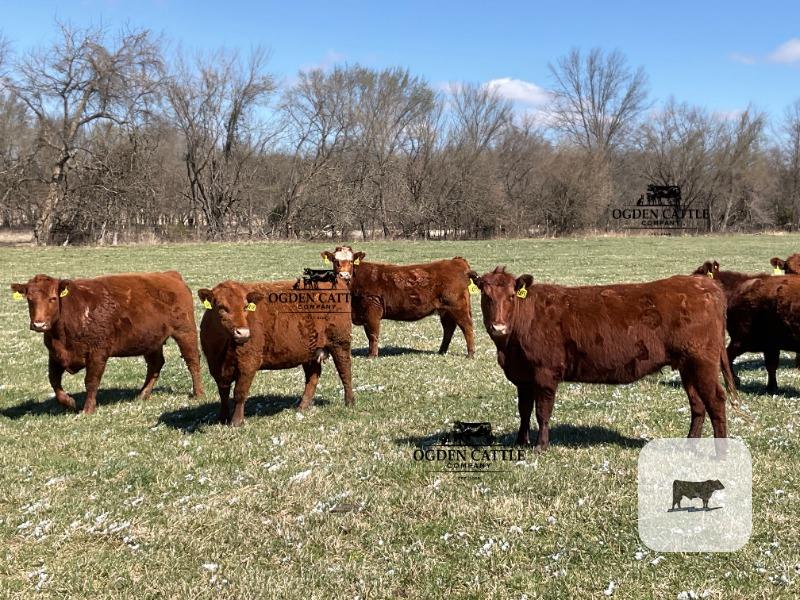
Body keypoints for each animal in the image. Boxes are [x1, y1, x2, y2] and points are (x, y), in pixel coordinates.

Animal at [10, 272, 204, 414]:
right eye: (29, 299)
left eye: (53, 298)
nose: (39, 324)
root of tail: (170, 275)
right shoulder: (55, 354)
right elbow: (54, 381)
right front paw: (70, 402)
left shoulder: (98, 353)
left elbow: (91, 381)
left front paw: (87, 410)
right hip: (152, 341)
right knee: (155, 365)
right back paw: (142, 394)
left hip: (185, 332)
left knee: (192, 361)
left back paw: (198, 393)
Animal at [198, 280, 353, 426]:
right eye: (221, 307)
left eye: (246, 307)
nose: (243, 333)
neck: (222, 351)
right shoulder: (215, 366)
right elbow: (223, 393)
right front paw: (222, 417)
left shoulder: (248, 363)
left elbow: (239, 392)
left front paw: (236, 422)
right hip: (309, 352)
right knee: (312, 377)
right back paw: (302, 406)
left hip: (340, 342)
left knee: (345, 370)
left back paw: (349, 401)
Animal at [322, 245, 475, 358]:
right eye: (335, 261)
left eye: (351, 261)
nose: (344, 275)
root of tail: (456, 261)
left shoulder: (372, 310)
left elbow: (373, 334)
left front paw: (372, 355)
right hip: (445, 311)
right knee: (449, 328)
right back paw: (441, 351)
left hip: (458, 308)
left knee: (467, 327)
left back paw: (470, 354)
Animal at [469, 267, 738, 451]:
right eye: (486, 296)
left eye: (512, 296)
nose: (498, 327)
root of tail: (703, 284)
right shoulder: (523, 377)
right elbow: (524, 411)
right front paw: (520, 441)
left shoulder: (545, 373)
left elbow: (542, 413)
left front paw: (540, 446)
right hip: (687, 366)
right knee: (698, 404)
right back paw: (690, 445)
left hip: (702, 362)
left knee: (716, 400)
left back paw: (721, 453)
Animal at [694, 260, 800, 393]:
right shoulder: (770, 343)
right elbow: (771, 365)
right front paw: (772, 387)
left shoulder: (742, 340)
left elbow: (727, 358)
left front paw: (733, 382)